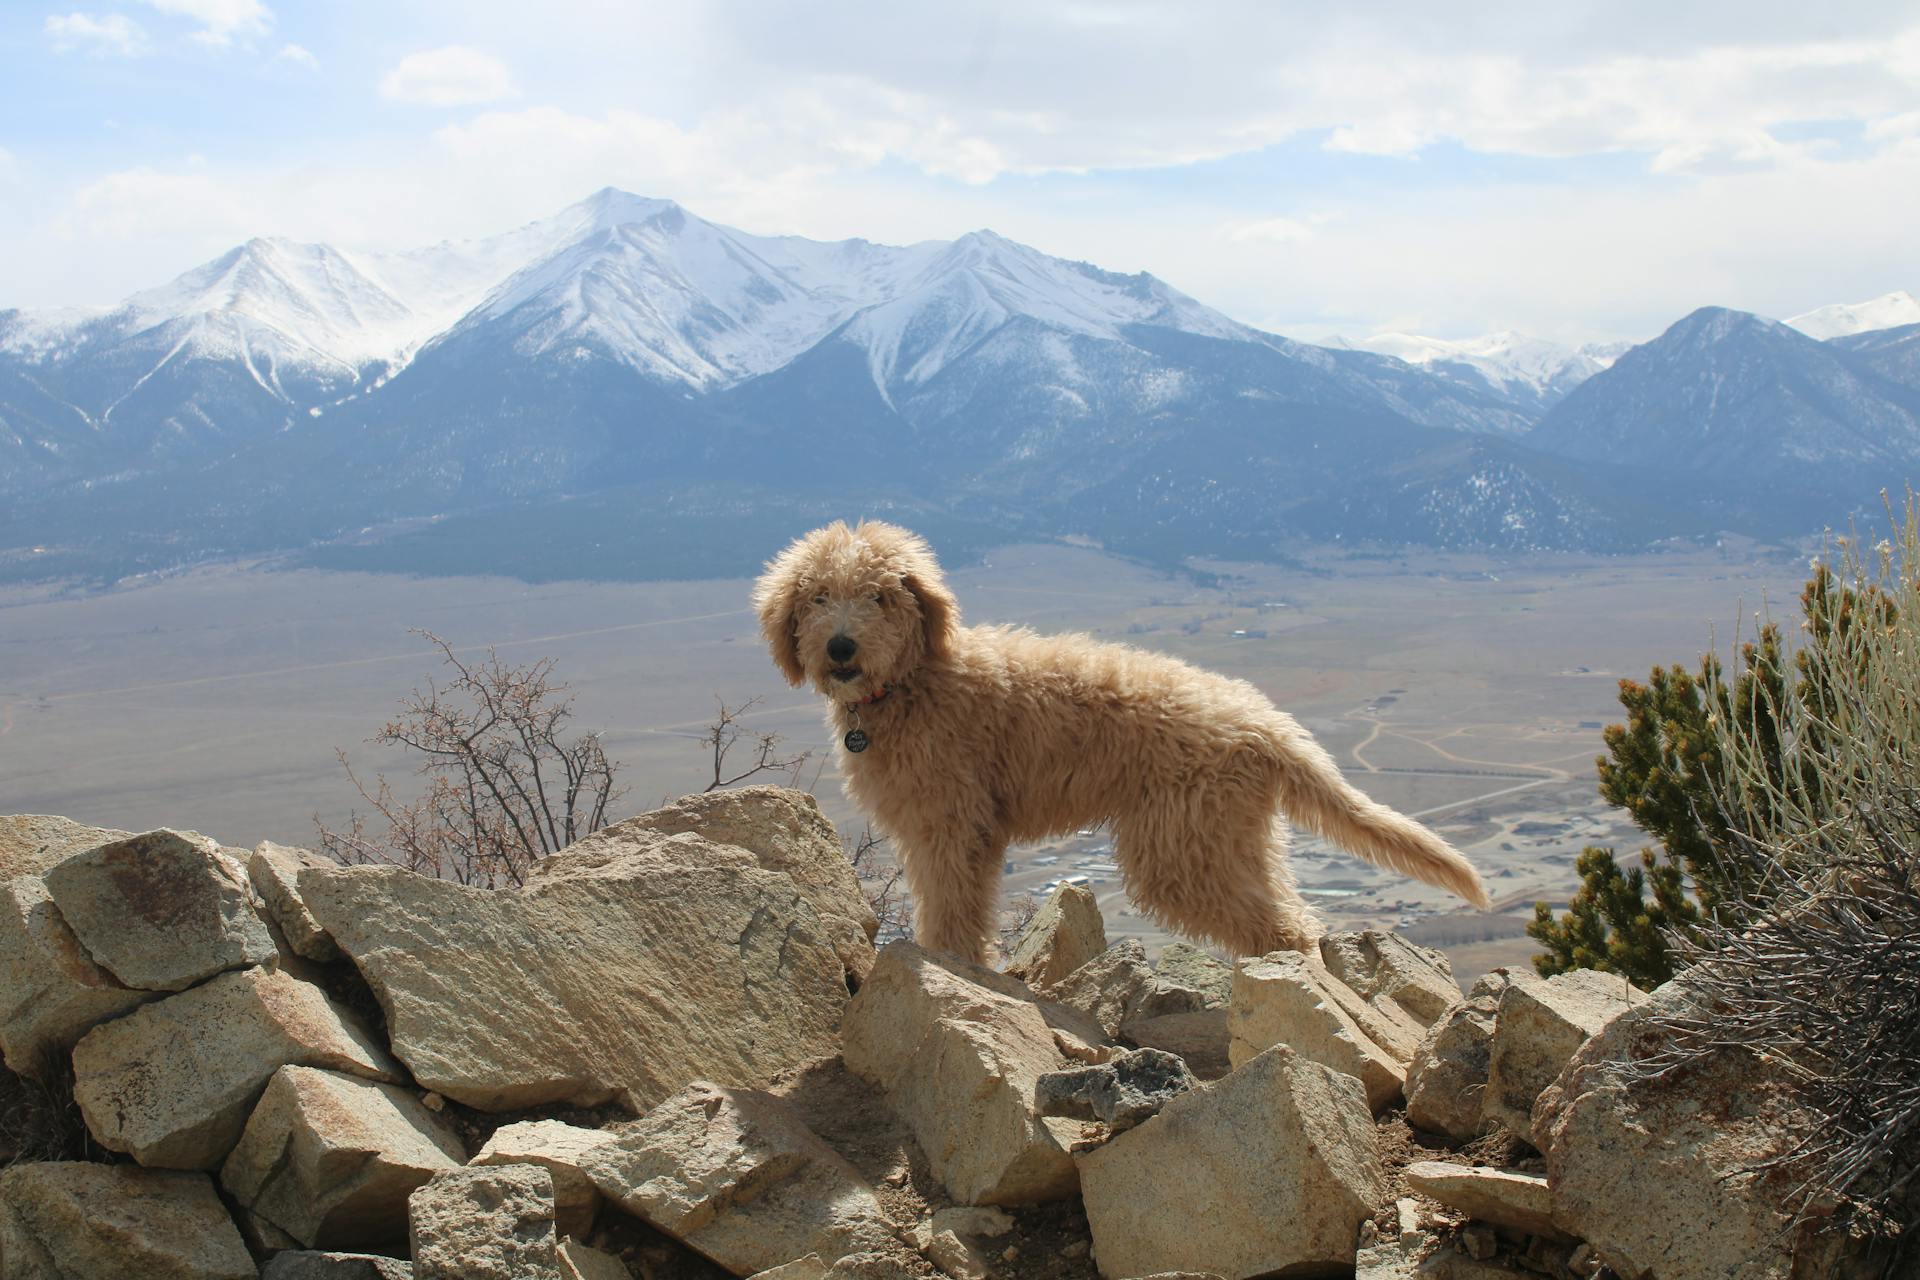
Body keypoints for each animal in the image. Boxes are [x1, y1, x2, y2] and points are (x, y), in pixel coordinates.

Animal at [756, 521, 1489, 959]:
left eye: (880, 595)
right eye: (818, 595)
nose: (841, 648)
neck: (915, 682)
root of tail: (1264, 722)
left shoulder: (948, 821)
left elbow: (948, 907)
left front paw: (945, 966)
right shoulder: (969, 829)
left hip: (1181, 848)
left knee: (1284, 926)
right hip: (1231, 836)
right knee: (1291, 913)